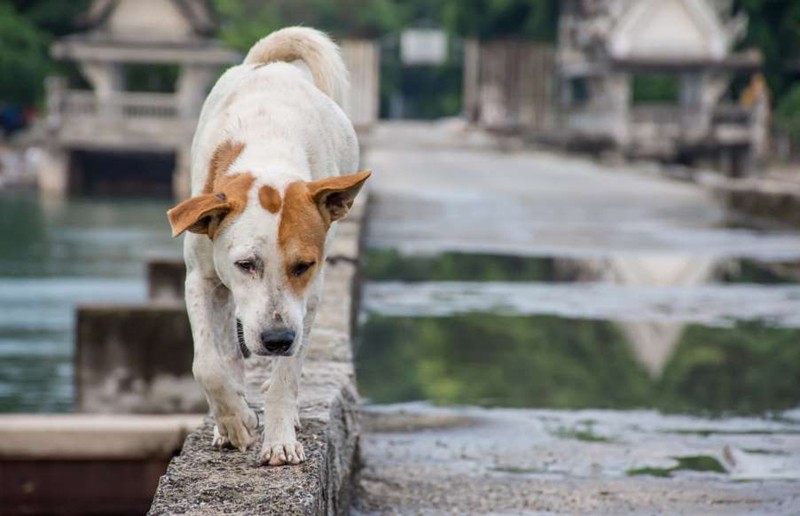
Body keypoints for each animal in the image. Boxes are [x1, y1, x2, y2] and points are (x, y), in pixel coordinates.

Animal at [169, 26, 372, 466]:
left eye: (303, 266)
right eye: (246, 264)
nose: (277, 339)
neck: (267, 157)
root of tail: (268, 64)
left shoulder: (309, 298)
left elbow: (286, 377)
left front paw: (279, 439)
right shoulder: (201, 278)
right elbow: (207, 364)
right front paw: (235, 421)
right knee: (228, 351)